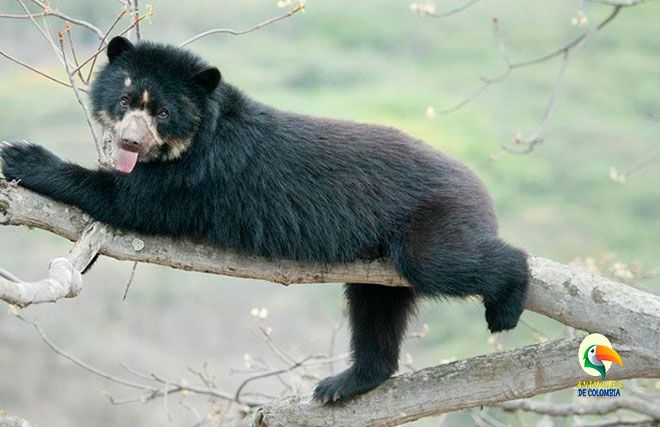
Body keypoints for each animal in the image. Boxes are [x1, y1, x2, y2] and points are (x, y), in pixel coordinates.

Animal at [0, 36, 524, 404]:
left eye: (163, 112)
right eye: (125, 101)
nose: (129, 142)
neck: (199, 135)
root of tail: (480, 188)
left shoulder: (196, 177)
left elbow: (125, 200)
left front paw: (22, 156)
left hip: (432, 219)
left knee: (449, 261)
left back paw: (505, 309)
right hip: (378, 263)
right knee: (375, 308)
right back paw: (342, 384)